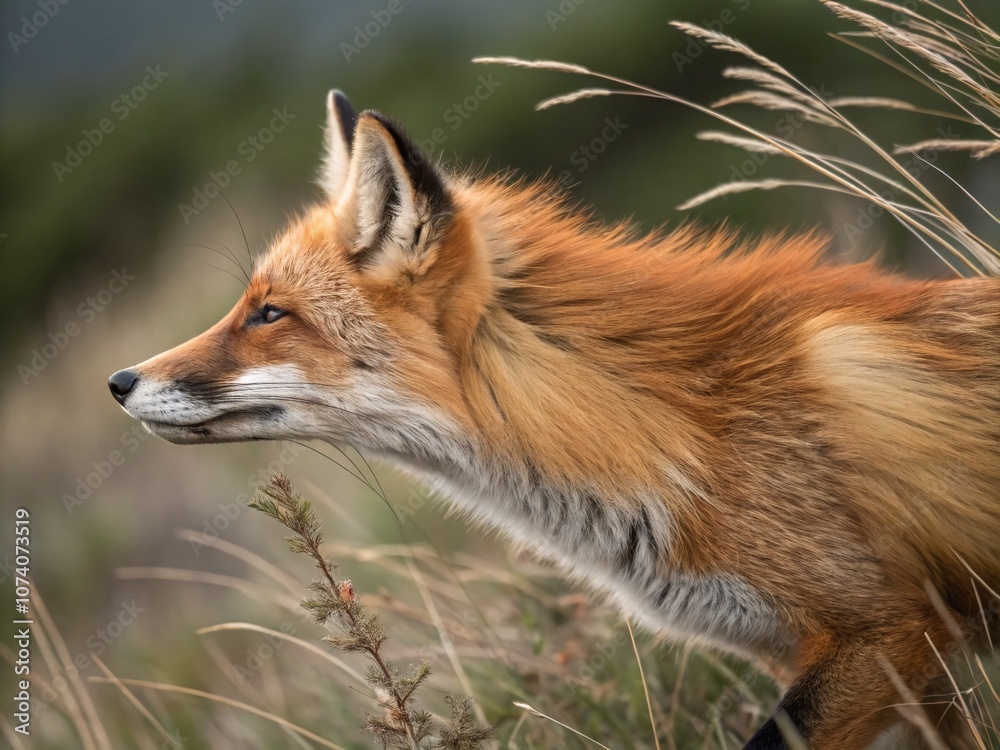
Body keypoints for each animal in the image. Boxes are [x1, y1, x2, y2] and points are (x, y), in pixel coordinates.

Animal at [108, 90, 1000, 749]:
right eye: (247, 305)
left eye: (269, 313)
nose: (119, 380)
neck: (676, 433)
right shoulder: (896, 672)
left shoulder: (887, 632)